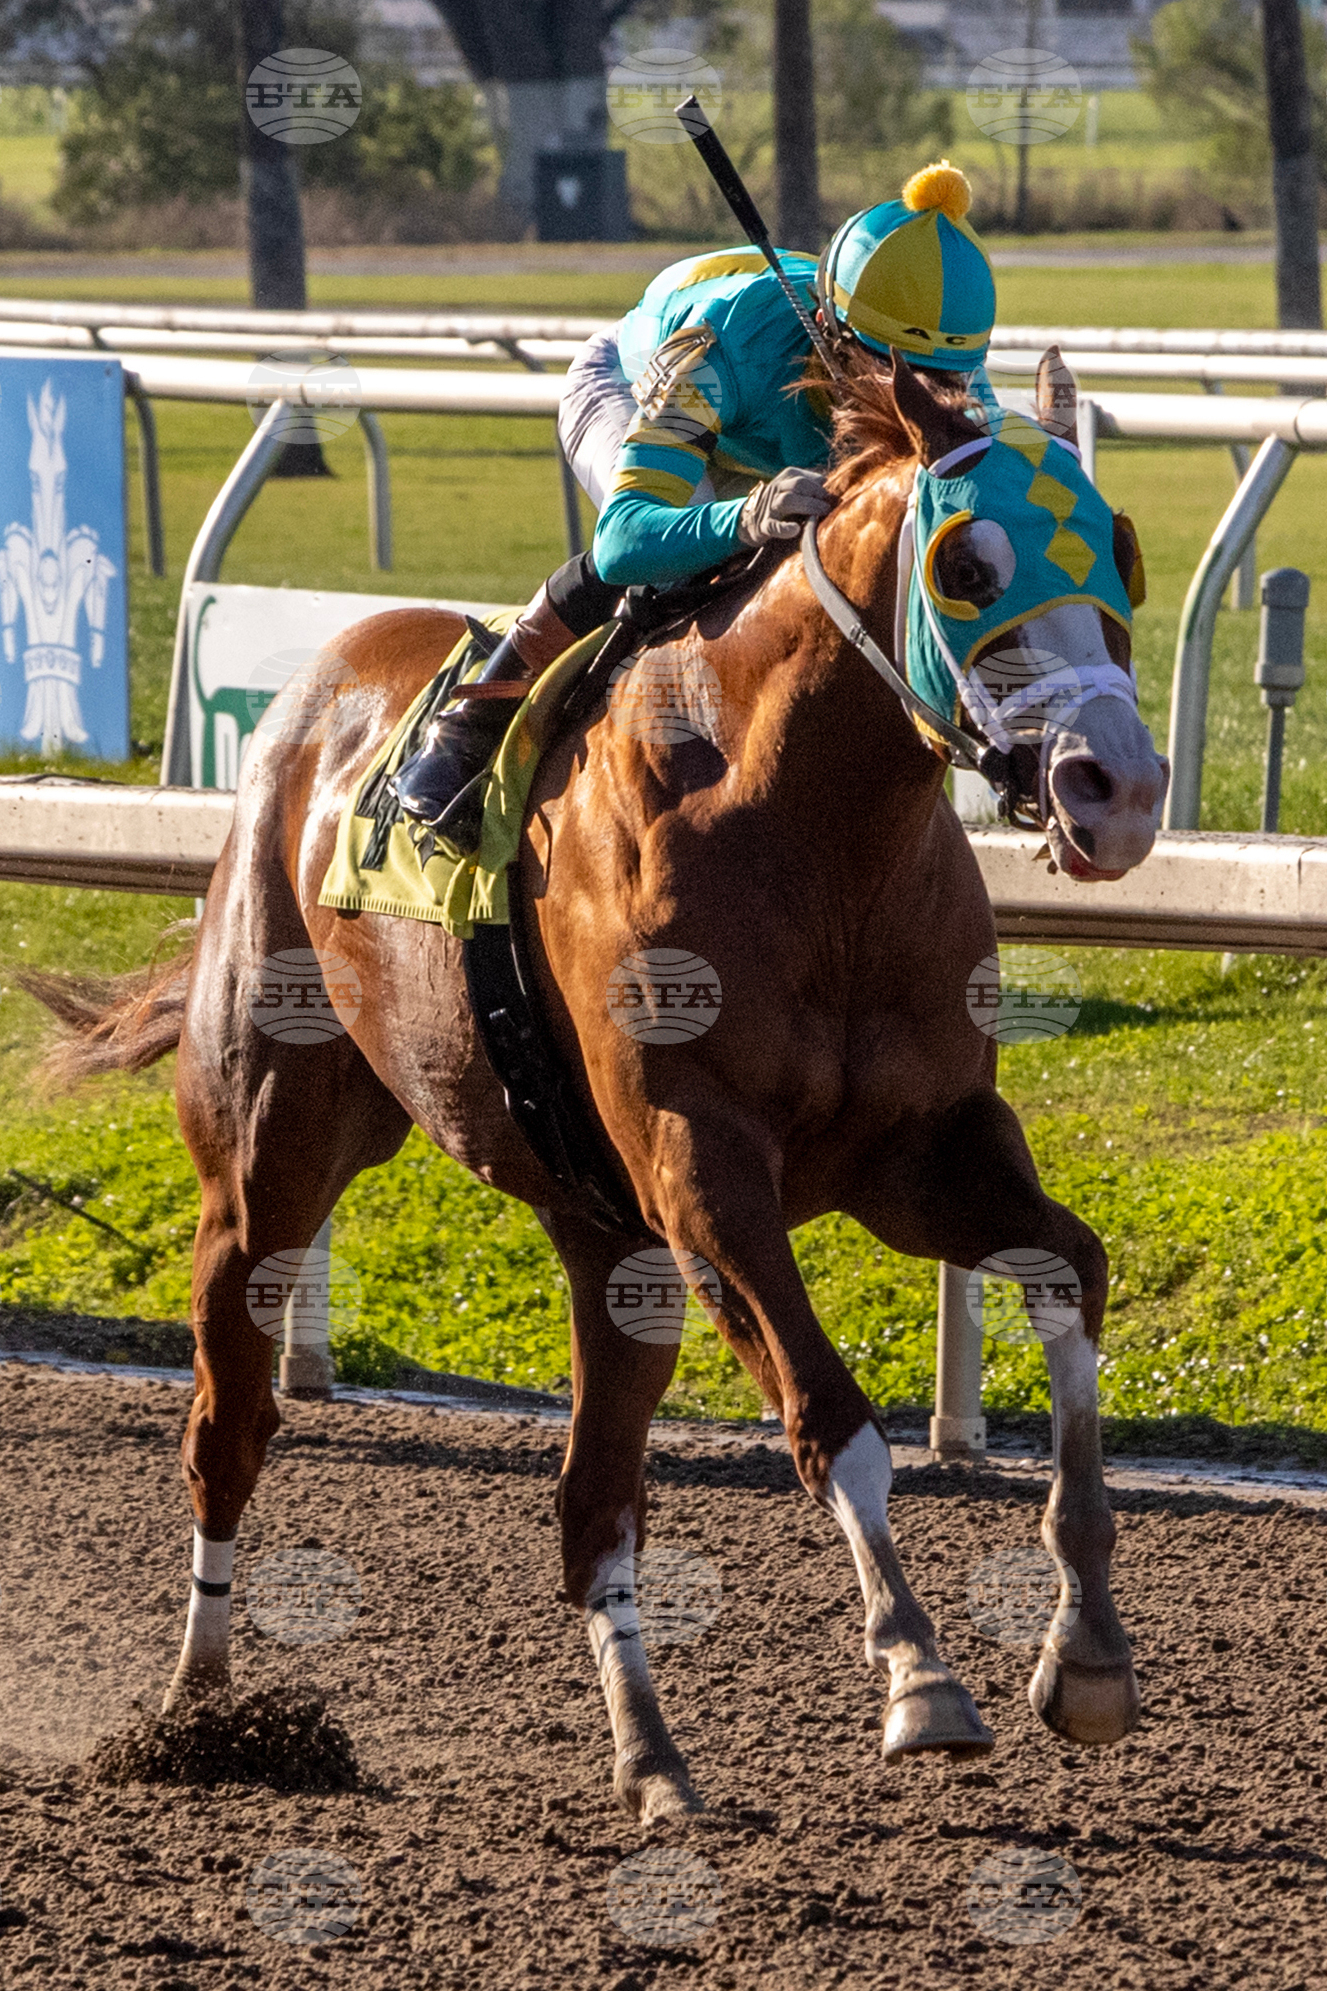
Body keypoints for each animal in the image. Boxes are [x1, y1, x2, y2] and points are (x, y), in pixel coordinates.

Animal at [34, 352, 1168, 1827]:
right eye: (967, 563)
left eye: (1122, 553)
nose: (1118, 789)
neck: (809, 828)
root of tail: (316, 686)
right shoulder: (702, 1174)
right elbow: (828, 1418)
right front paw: (920, 1677)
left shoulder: (919, 1155)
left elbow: (1069, 1276)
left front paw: (1085, 1652)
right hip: (268, 1161)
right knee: (229, 1424)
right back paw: (203, 1711)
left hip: (604, 1240)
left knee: (592, 1503)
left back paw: (654, 1761)